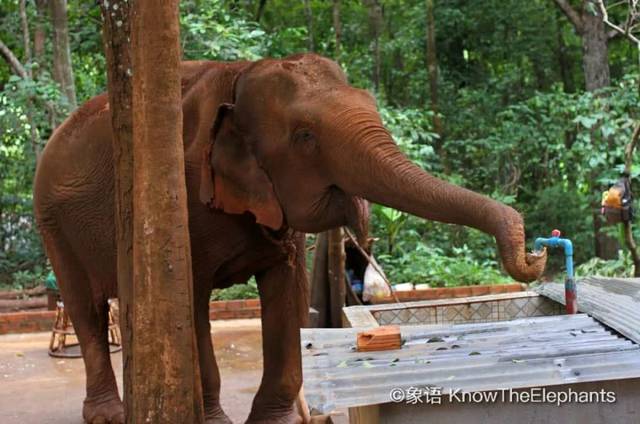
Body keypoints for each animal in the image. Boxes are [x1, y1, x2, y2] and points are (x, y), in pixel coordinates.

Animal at [32, 53, 548, 424]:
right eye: (304, 136)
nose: (538, 253)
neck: (239, 76)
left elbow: (287, 294)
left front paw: (278, 423)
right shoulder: (181, 194)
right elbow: (192, 305)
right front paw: (216, 423)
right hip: (51, 223)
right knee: (85, 308)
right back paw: (108, 416)